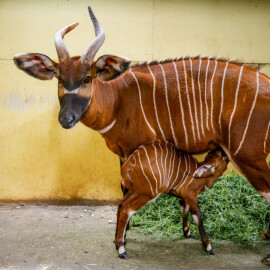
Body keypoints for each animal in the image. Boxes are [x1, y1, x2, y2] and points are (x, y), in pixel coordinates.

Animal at [14, 6, 270, 264]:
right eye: (59, 77)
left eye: (87, 77)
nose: (66, 119)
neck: (116, 99)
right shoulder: (123, 155)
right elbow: (128, 192)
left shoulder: (136, 150)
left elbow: (129, 195)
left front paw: (123, 241)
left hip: (248, 155)